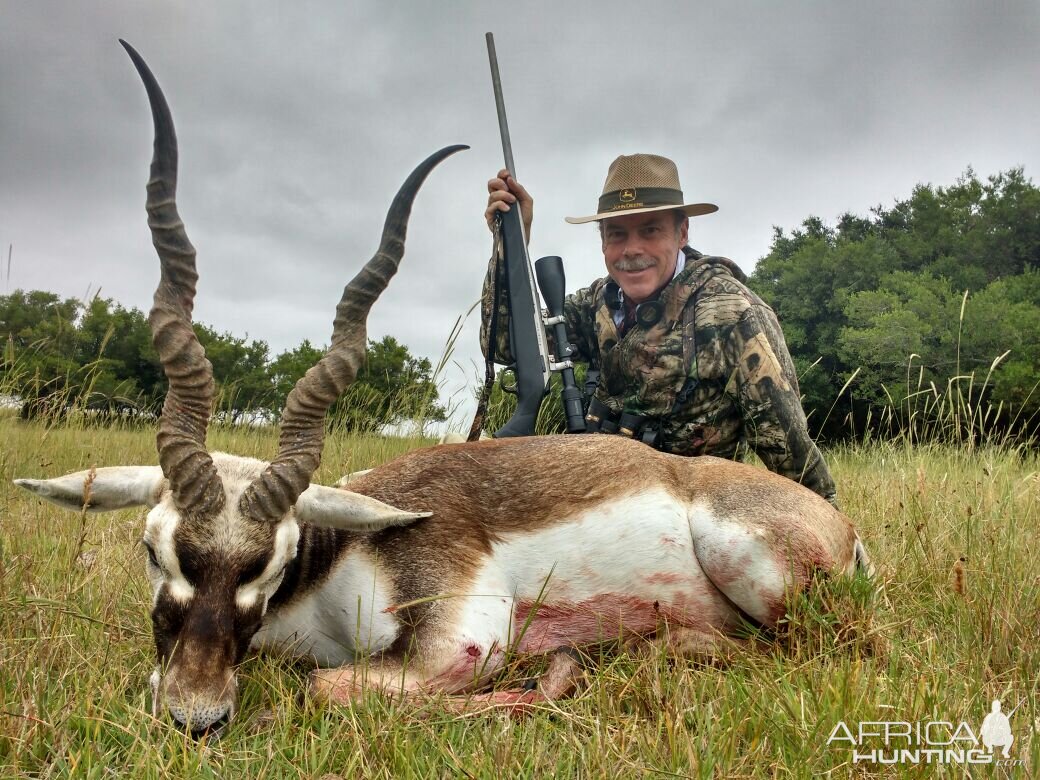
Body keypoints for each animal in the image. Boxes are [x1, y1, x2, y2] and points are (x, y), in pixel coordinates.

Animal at [18, 41, 869, 740]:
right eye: (151, 546)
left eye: (274, 559)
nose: (197, 716)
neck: (331, 562)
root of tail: (840, 527)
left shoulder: (463, 635)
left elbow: (325, 688)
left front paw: (545, 677)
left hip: (763, 580)